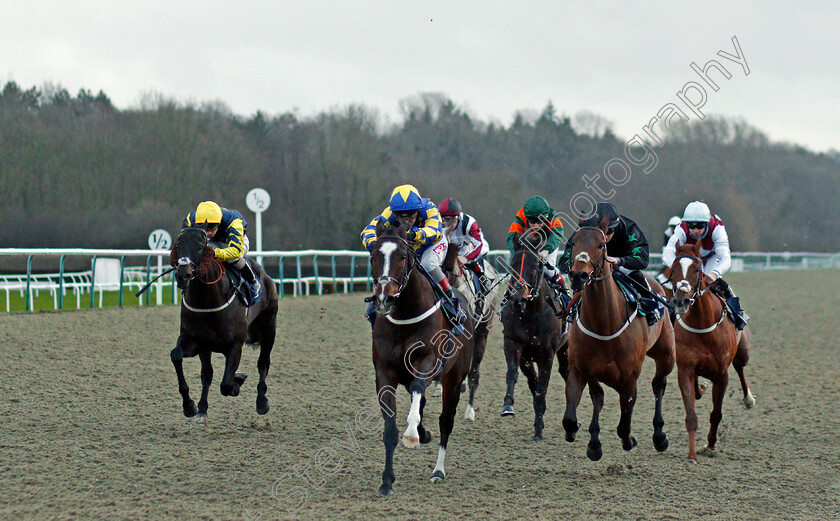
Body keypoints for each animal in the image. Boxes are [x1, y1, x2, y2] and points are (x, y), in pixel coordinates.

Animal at [170, 228, 278, 422]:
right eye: (178, 246)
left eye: (200, 247)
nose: (183, 275)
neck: (207, 300)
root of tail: (264, 275)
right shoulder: (196, 341)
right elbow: (177, 357)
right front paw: (191, 406)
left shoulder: (235, 345)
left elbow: (226, 384)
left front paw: (237, 382)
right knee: (207, 373)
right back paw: (202, 409)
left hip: (269, 328)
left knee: (263, 363)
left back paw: (262, 402)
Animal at [370, 221, 476, 494]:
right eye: (374, 255)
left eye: (402, 256)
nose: (384, 298)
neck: (405, 316)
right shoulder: (384, 372)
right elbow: (390, 429)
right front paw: (386, 481)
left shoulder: (428, 362)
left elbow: (419, 390)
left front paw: (412, 434)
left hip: (454, 376)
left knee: (446, 421)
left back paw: (438, 470)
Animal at [498, 230, 572, 440]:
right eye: (512, 264)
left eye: (536, 265)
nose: (517, 299)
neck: (530, 312)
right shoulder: (513, 343)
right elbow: (513, 373)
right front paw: (508, 405)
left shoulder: (547, 353)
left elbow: (542, 388)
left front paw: (538, 431)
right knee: (532, 380)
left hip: (565, 347)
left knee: (566, 372)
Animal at [564, 214, 676, 460]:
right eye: (573, 242)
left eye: (601, 245)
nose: (578, 275)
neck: (605, 325)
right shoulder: (580, 369)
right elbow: (571, 418)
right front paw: (591, 443)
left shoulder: (629, 378)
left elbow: (624, 425)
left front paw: (630, 440)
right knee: (599, 396)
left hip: (666, 354)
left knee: (659, 385)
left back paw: (659, 436)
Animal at [668, 242, 756, 462]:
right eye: (674, 268)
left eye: (697, 269)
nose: (681, 301)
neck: (702, 323)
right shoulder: (685, 368)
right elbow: (691, 415)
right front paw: (692, 455)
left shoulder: (721, 373)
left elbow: (716, 413)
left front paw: (710, 445)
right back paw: (700, 387)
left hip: (742, 352)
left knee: (741, 369)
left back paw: (748, 399)